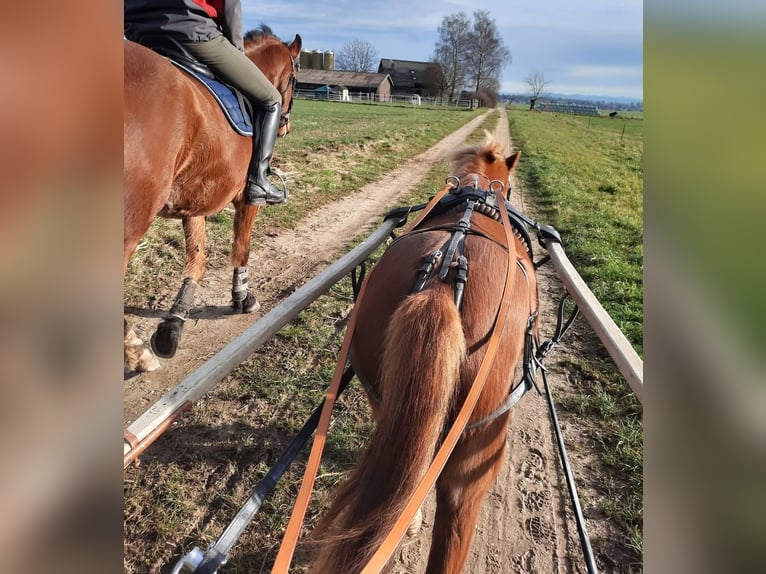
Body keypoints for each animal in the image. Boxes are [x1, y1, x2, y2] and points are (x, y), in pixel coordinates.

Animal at [123, 26, 302, 373]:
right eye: (295, 78)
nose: (286, 126)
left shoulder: (195, 200)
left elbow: (198, 259)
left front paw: (174, 323)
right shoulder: (247, 199)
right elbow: (242, 247)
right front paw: (242, 297)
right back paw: (137, 353)